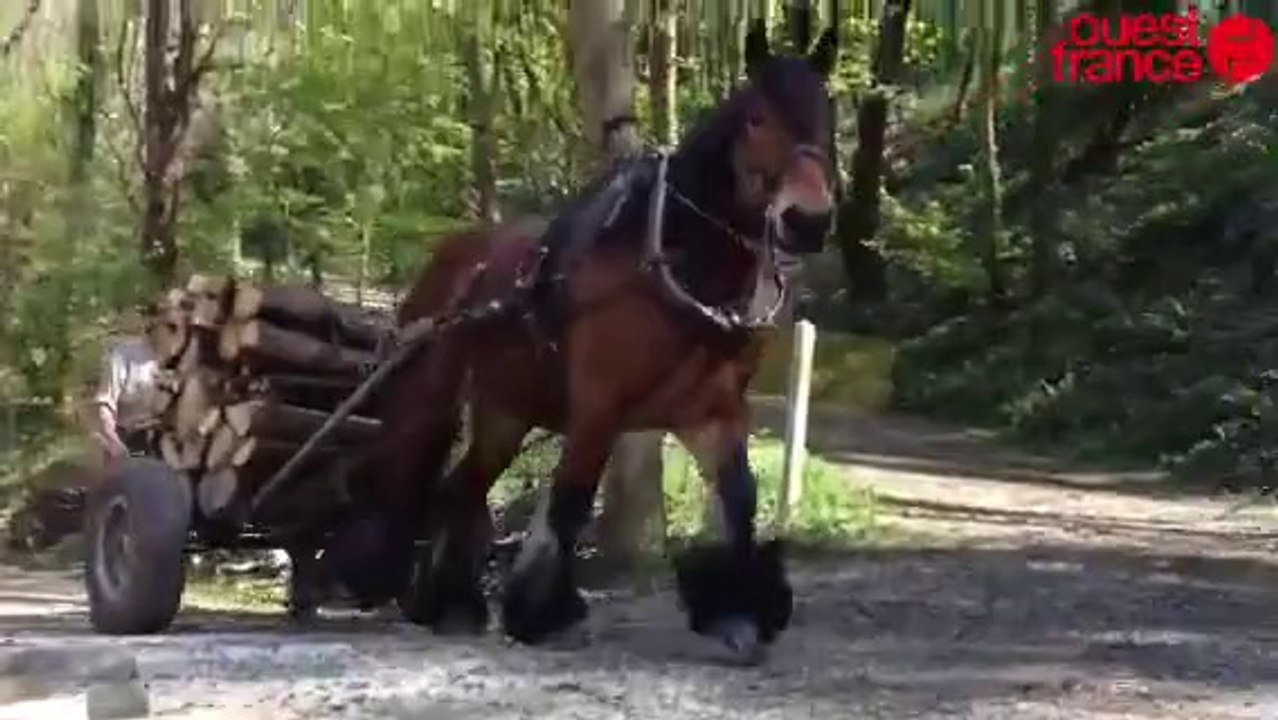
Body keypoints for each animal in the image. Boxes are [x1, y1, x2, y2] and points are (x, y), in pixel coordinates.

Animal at [325, 19, 839, 664]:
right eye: (756, 118)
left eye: (828, 113)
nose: (808, 221)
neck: (669, 261)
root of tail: (457, 254)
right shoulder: (599, 407)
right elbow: (571, 501)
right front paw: (545, 613)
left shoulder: (712, 413)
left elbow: (740, 501)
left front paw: (738, 612)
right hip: (434, 394)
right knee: (412, 470)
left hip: (505, 409)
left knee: (461, 487)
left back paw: (452, 604)